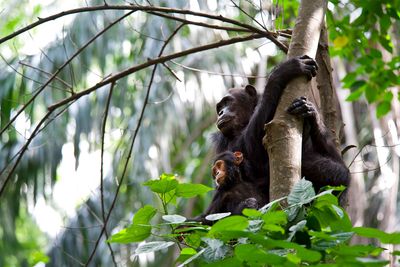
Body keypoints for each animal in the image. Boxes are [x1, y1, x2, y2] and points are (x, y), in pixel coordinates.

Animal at [212, 55, 350, 200]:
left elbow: (338, 162)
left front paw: (311, 112)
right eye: (219, 107)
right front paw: (282, 71)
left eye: (227, 102)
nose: (221, 112)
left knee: (341, 173)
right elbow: (242, 152)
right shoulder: (220, 139)